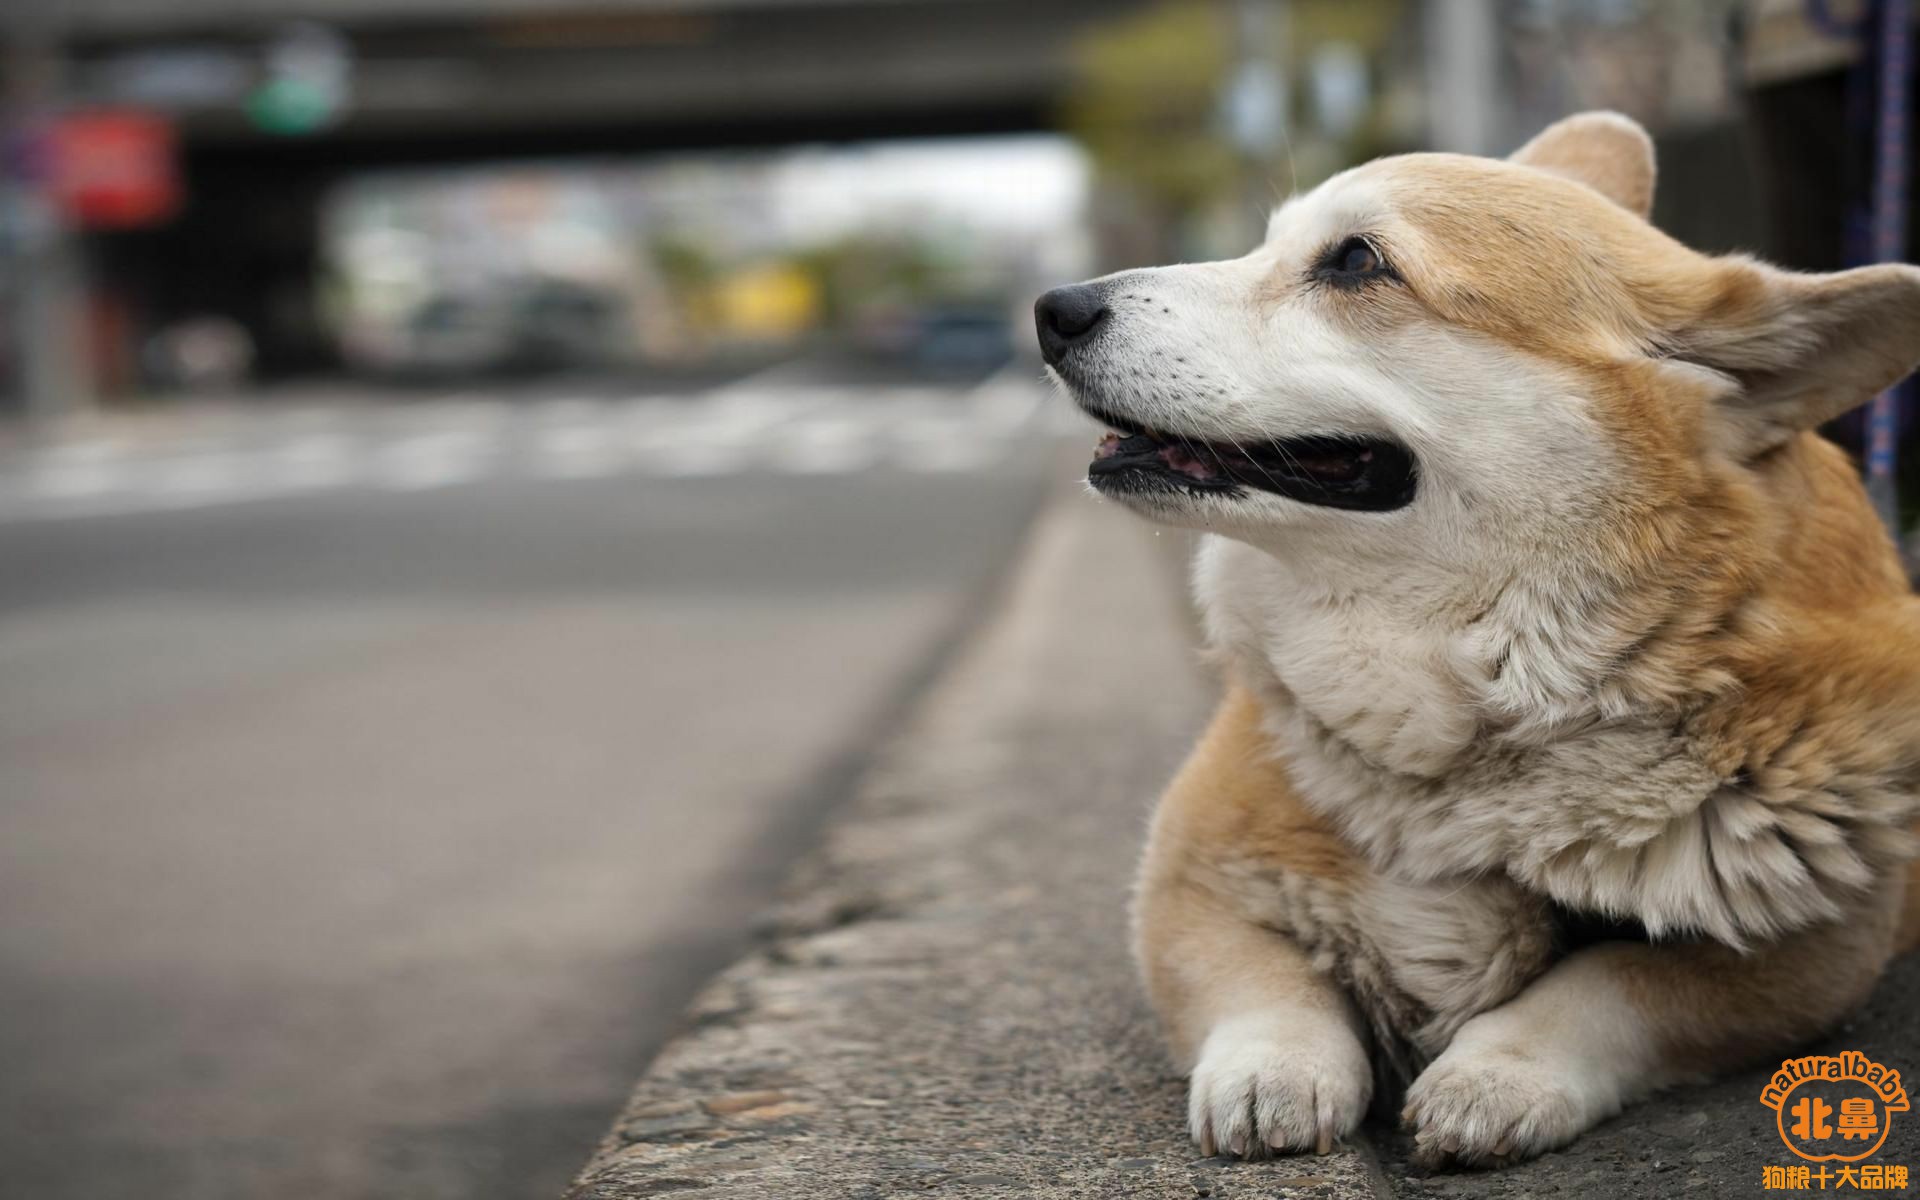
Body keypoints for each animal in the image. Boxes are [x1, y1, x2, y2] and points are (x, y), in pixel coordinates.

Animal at [1044, 112, 1920, 1159]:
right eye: (1265, 242)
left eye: (1356, 261)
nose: (1052, 310)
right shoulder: (1185, 887)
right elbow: (1269, 985)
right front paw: (1274, 1075)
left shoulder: (1818, 948)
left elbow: (1620, 980)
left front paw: (1496, 1075)